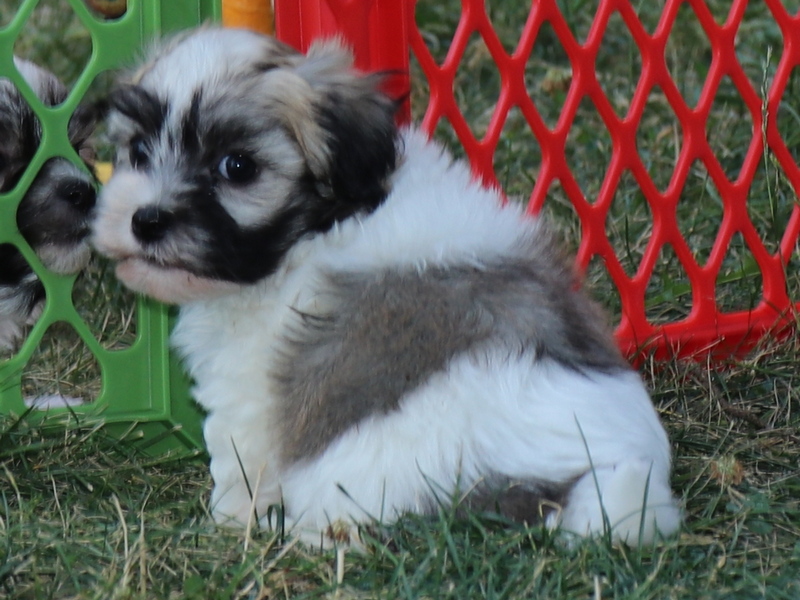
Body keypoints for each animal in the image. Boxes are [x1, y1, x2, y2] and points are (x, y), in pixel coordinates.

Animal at [92, 27, 681, 547]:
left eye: (236, 166)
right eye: (138, 152)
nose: (147, 219)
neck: (320, 224)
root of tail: (581, 481)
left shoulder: (247, 382)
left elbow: (241, 455)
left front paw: (230, 519)